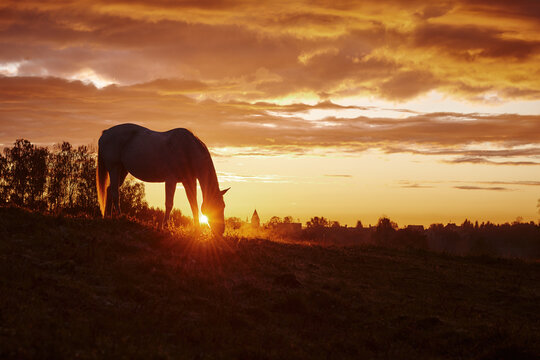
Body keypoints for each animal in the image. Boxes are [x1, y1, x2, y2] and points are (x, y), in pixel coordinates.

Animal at [96, 124, 229, 236]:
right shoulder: (171, 180)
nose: (221, 231)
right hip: (114, 167)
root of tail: (105, 133)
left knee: (109, 189)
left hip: (122, 170)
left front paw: (197, 230)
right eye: (216, 206)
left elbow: (193, 204)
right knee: (115, 192)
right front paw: (165, 227)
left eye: (223, 206)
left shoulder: (189, 181)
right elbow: (169, 204)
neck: (187, 148)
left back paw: (107, 217)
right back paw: (120, 216)